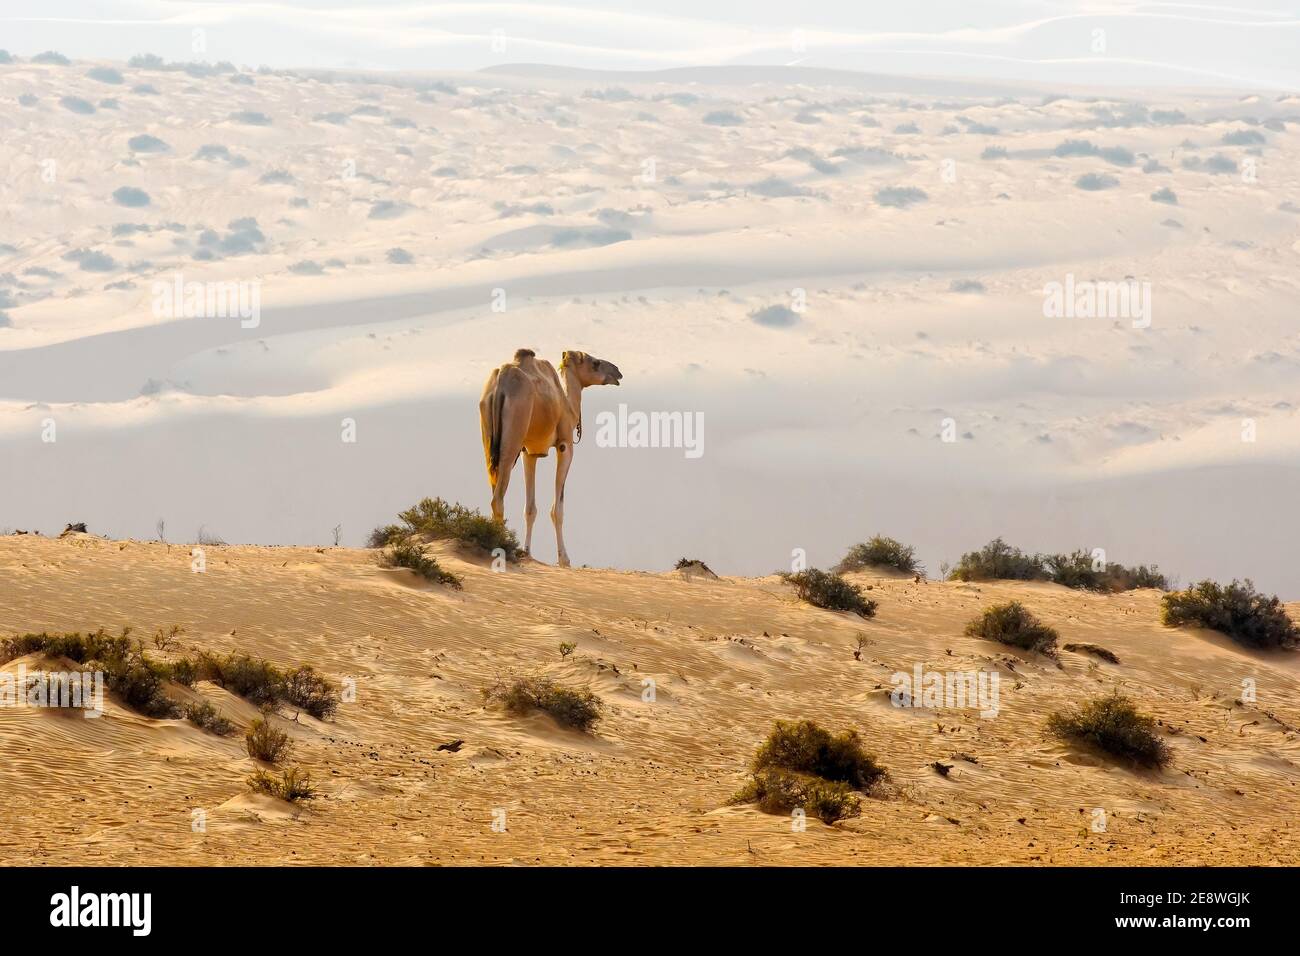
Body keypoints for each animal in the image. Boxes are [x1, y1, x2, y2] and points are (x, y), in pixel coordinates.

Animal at [480, 348, 621, 564]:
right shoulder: (565, 446)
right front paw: (564, 559)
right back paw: (502, 548)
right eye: (595, 363)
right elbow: (558, 509)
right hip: (511, 438)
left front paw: (527, 553)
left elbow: (530, 508)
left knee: (494, 488)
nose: (617, 372)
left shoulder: (529, 452)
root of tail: (501, 381)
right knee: (498, 498)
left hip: (489, 437)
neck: (567, 406)